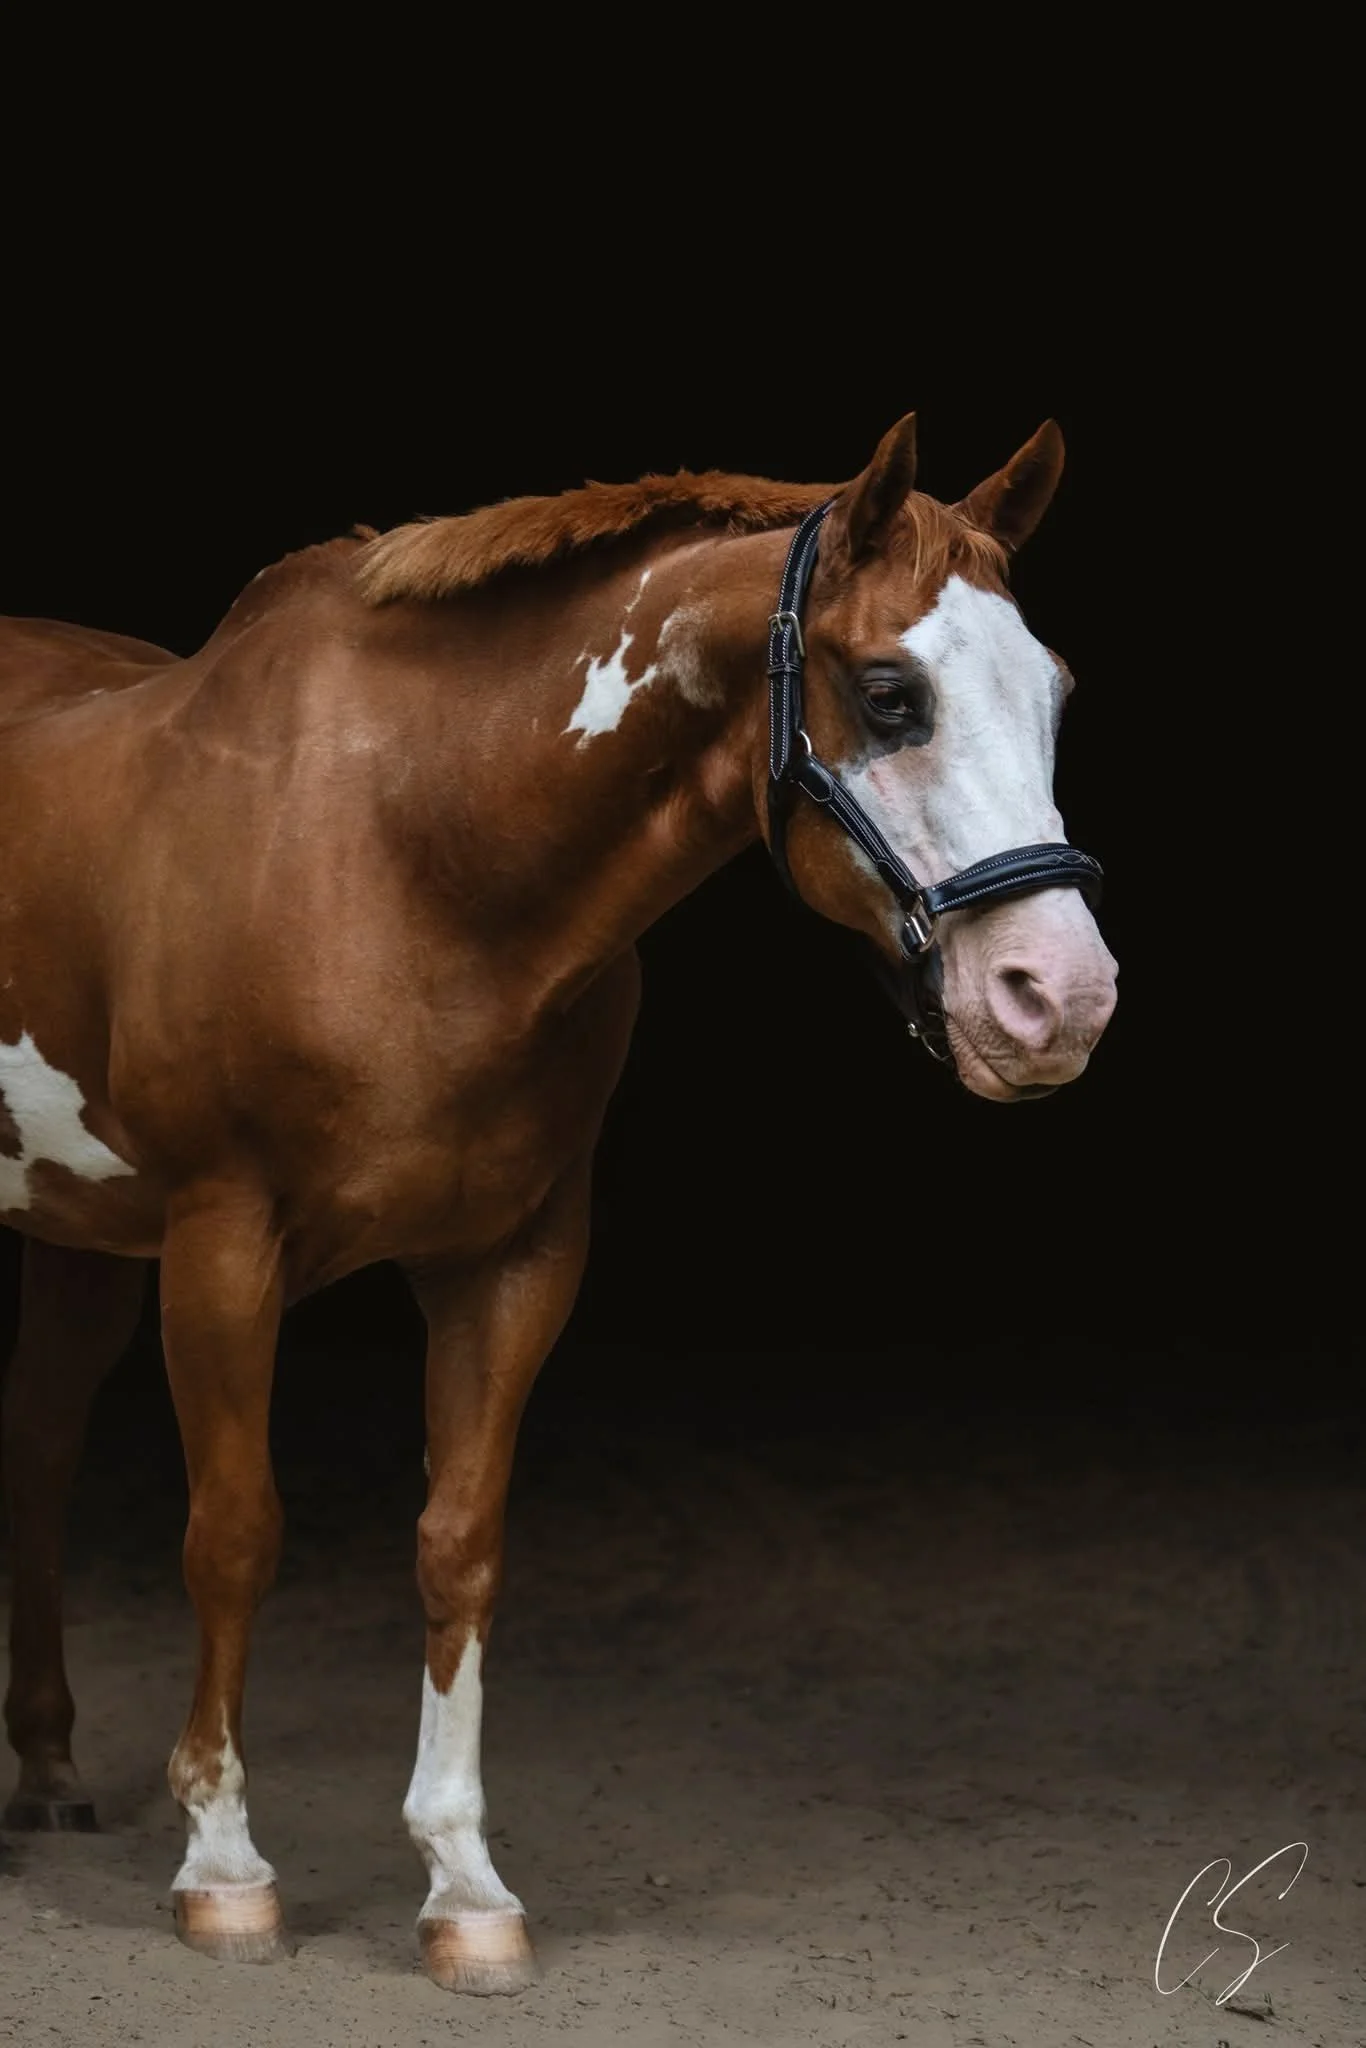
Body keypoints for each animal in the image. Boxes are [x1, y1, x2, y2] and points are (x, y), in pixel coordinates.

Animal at [0, 414, 1117, 1994]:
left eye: (1055, 692)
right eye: (890, 693)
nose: (1058, 1000)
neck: (400, 845)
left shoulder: (514, 1258)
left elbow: (458, 1543)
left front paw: (464, 1885)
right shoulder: (223, 1243)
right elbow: (234, 1531)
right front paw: (224, 1866)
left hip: (82, 1231)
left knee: (34, 1448)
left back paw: (44, 1769)